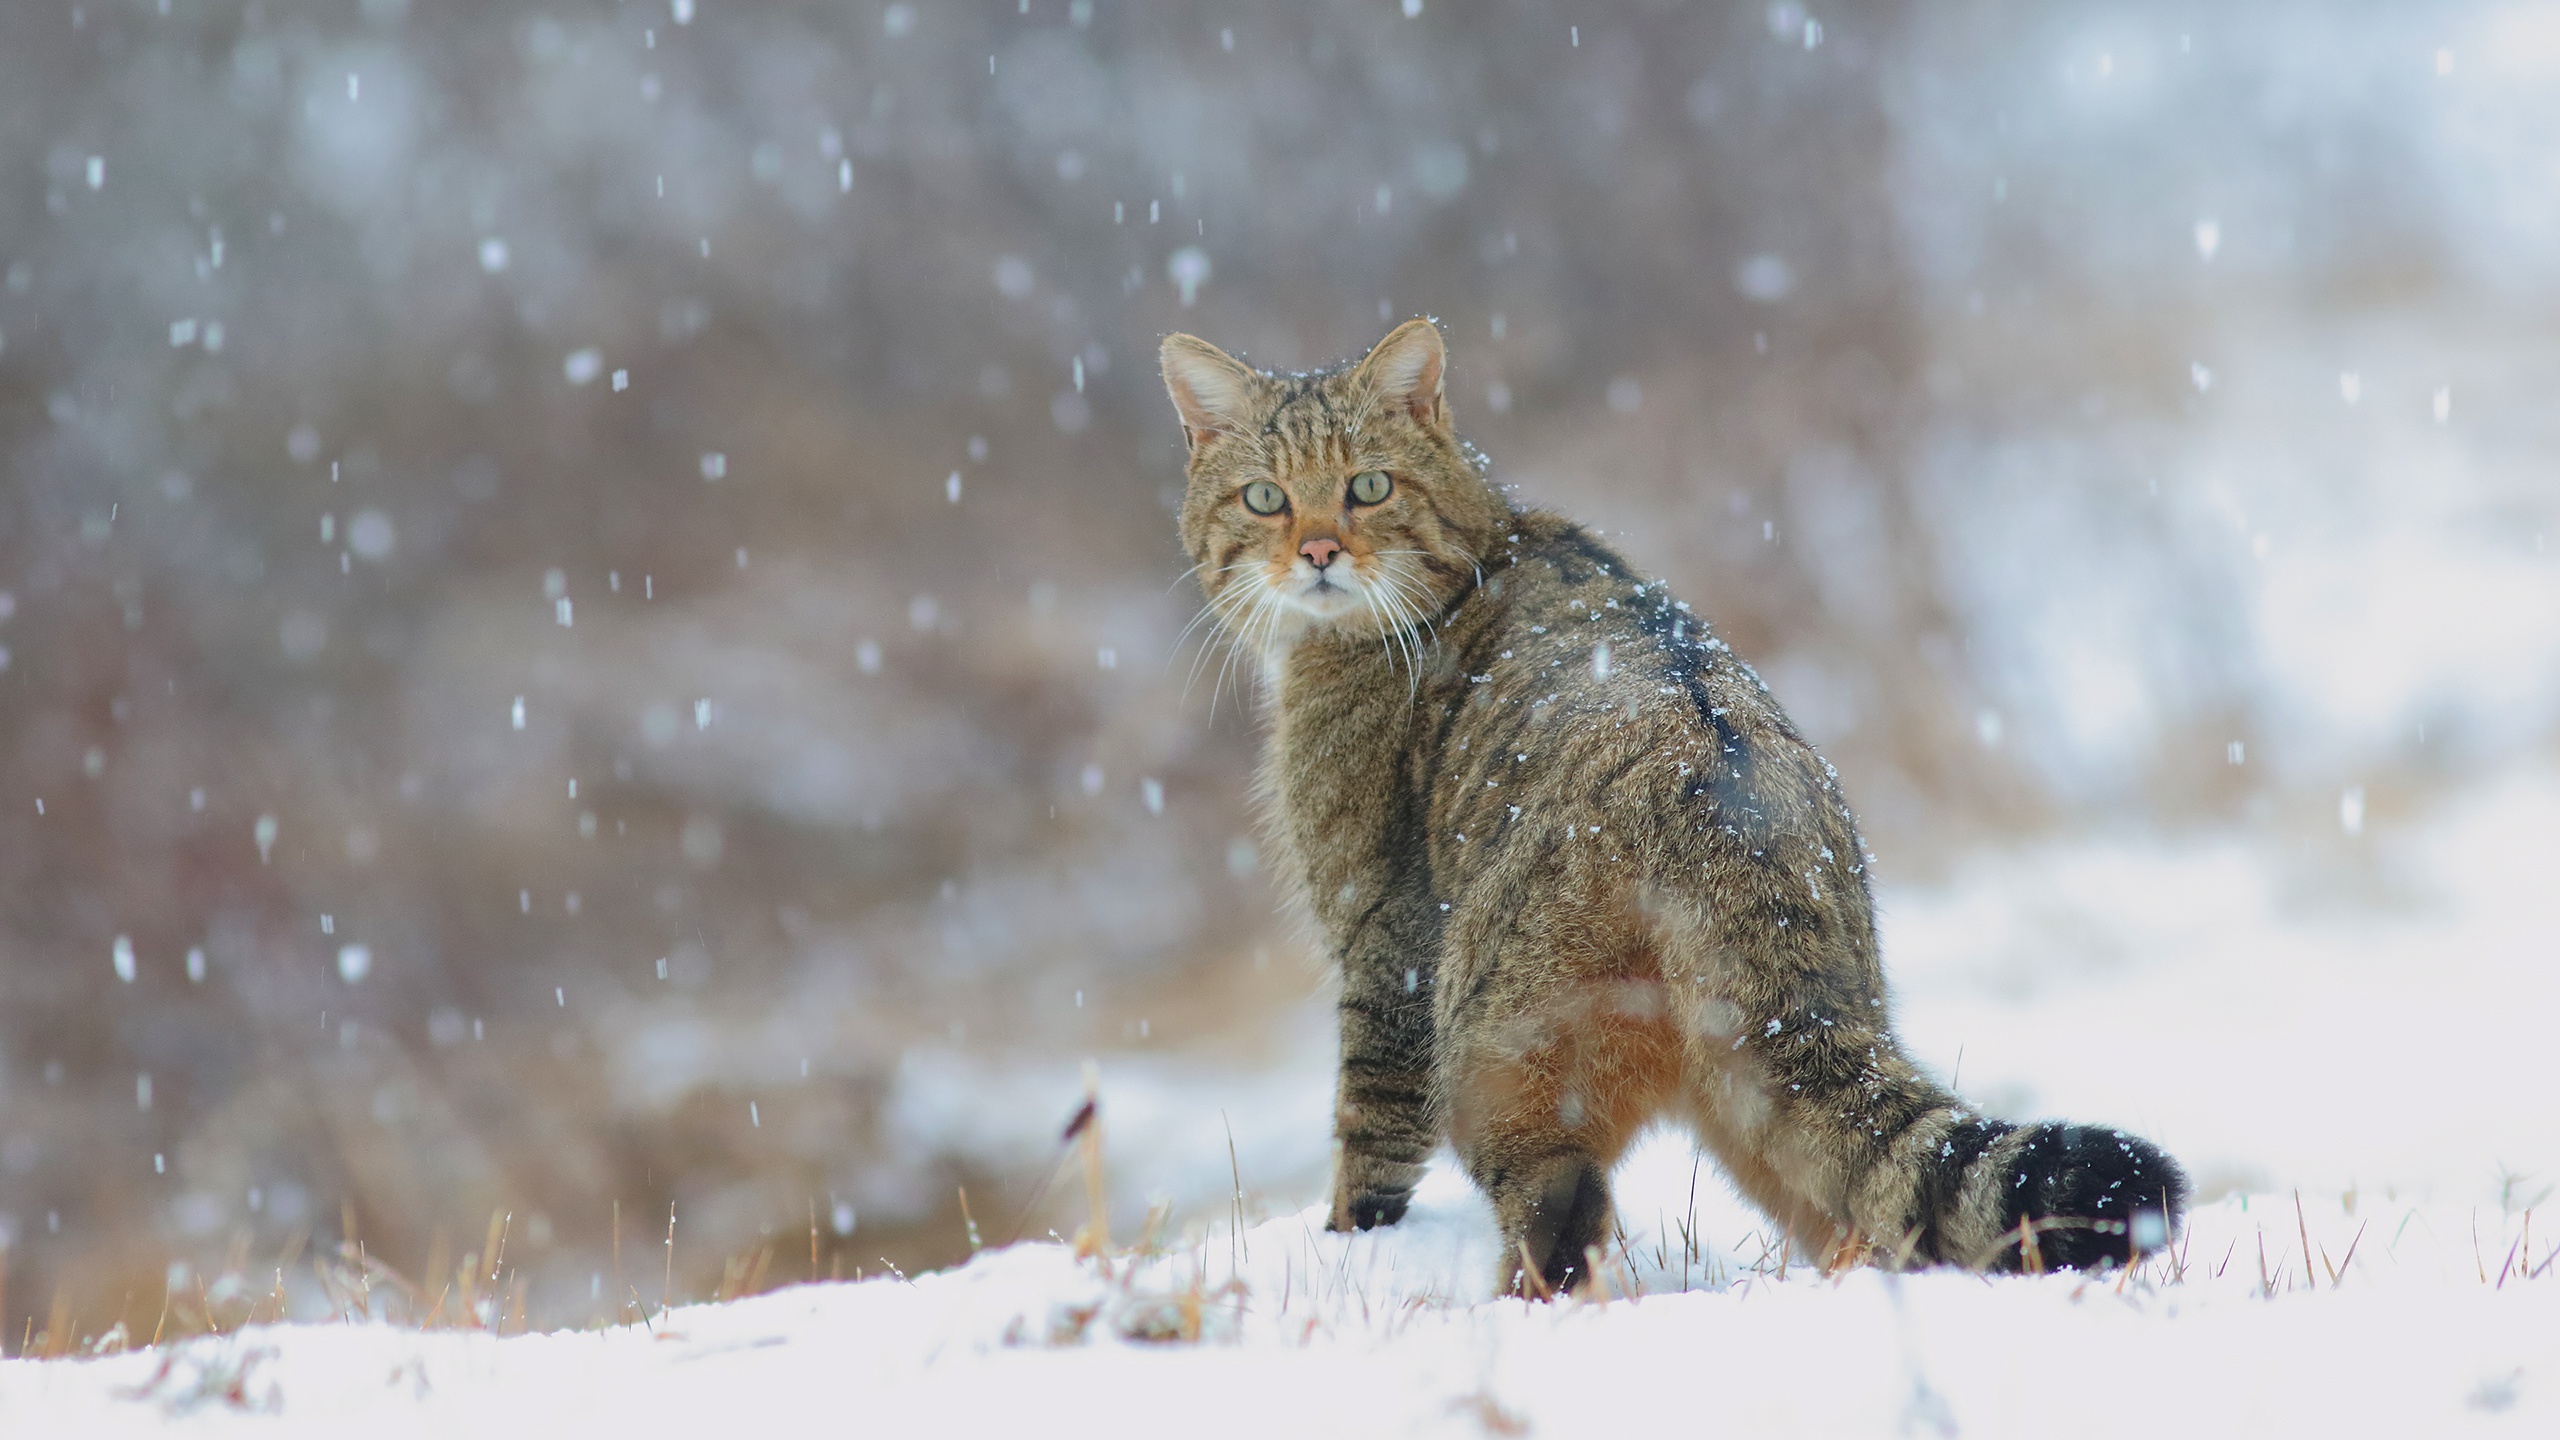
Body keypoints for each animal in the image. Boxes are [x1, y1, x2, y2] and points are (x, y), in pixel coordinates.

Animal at [1162, 313, 2181, 1291]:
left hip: (1491, 1047)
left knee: (1559, 1210)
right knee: (1867, 1207)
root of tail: (1730, 811)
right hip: (1760, 1088)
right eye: (1264, 498)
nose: (1319, 549)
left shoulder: (1383, 939)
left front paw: (1345, 1246)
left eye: (1368, 486)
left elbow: (1369, 1138)